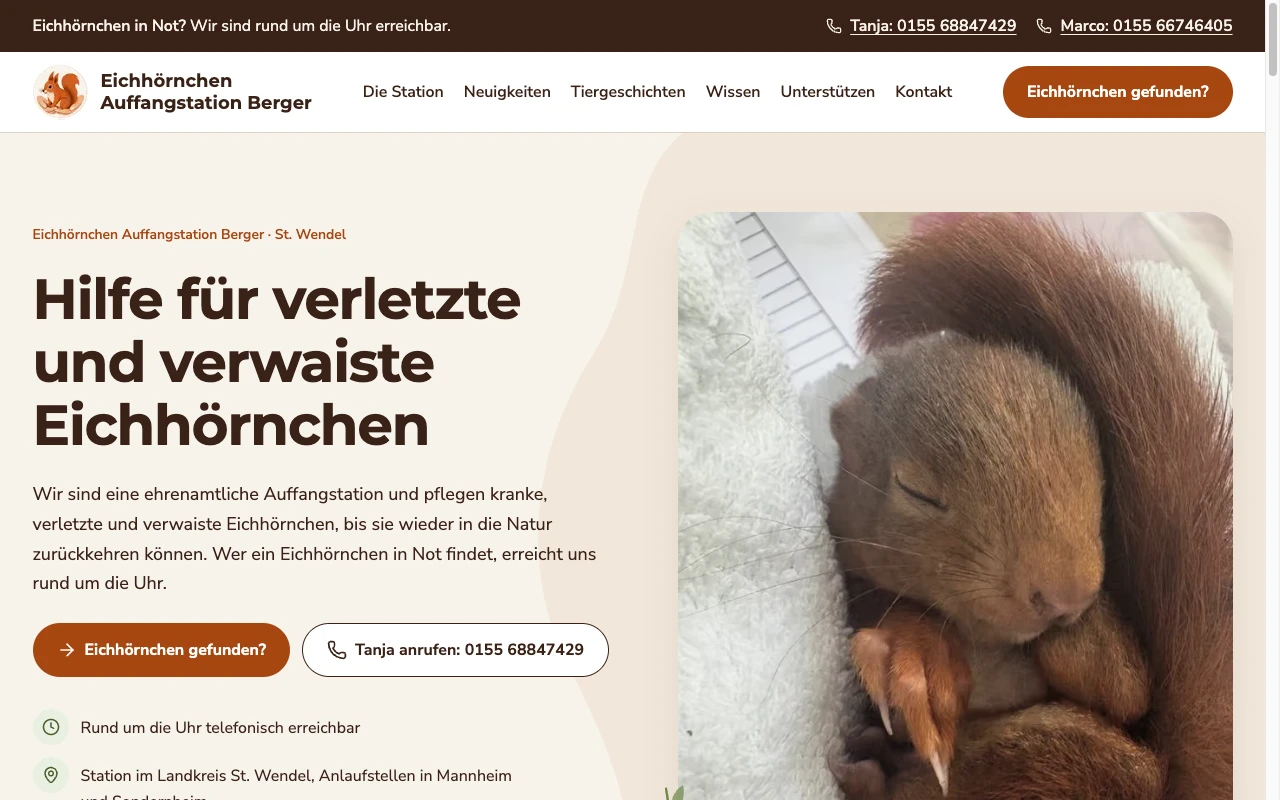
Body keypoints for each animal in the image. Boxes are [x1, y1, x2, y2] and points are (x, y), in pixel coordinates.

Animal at [824, 214, 1232, 800]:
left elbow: (1129, 691)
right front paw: (915, 655)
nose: (1067, 595)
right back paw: (875, 766)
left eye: (1100, 466)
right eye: (915, 490)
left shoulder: (1118, 678)